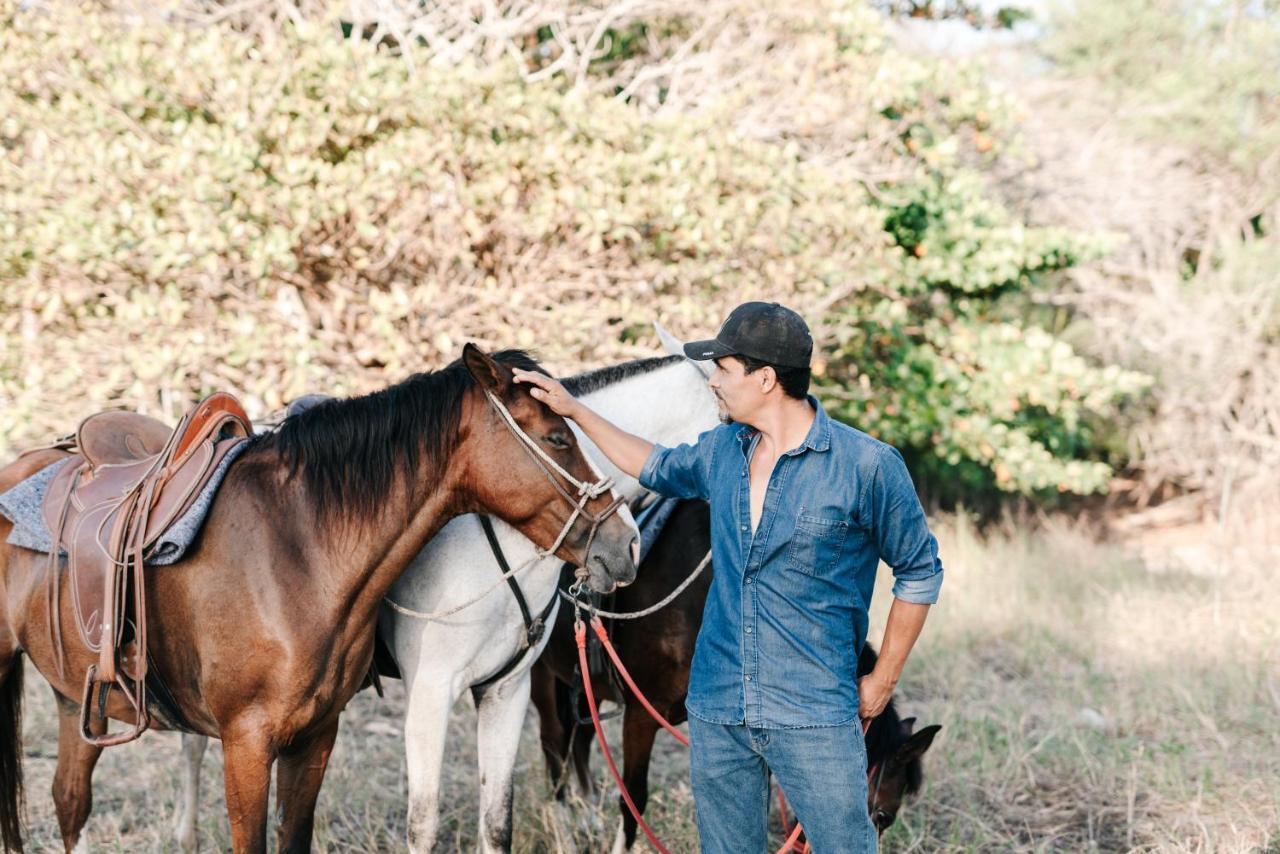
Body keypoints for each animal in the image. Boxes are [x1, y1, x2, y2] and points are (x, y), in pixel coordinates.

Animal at [0, 348, 640, 854]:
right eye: (557, 437)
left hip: (74, 698)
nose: (625, 541)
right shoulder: (248, 744)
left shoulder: (317, 736)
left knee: (70, 801)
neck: (297, 549)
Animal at [172, 325, 721, 850]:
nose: (627, 544)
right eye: (558, 439)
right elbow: (424, 825)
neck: (499, 544)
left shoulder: (507, 688)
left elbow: (498, 823)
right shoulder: (430, 696)